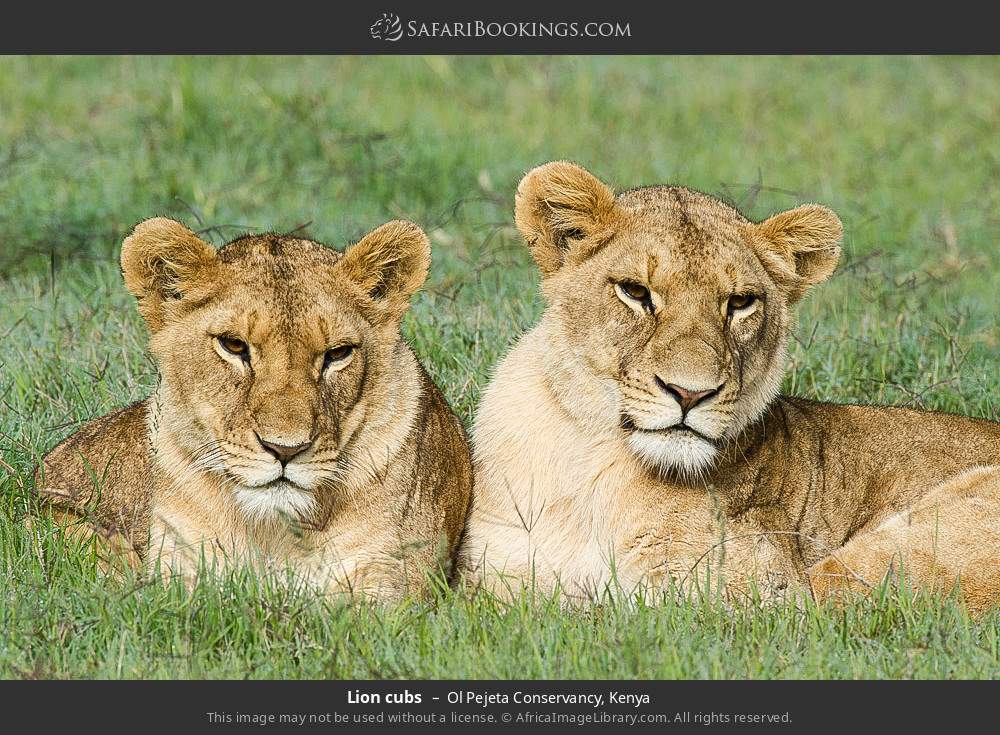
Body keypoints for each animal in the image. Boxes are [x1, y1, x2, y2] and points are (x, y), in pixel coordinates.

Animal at [460, 161, 1000, 612]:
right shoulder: (490, 570)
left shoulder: (763, 593)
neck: (589, 468)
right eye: (635, 292)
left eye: (740, 302)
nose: (690, 394)